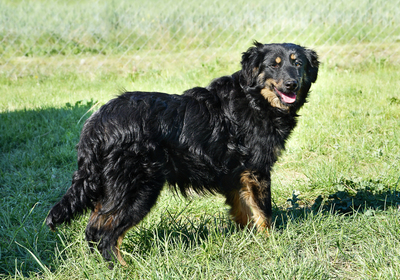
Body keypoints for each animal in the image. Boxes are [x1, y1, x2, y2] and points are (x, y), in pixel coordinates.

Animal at [46, 41, 318, 264]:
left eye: (298, 64)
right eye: (274, 65)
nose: (291, 84)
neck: (254, 99)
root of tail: (97, 123)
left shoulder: (235, 175)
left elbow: (244, 211)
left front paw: (248, 240)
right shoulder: (257, 170)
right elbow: (263, 211)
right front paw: (271, 242)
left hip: (112, 188)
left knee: (93, 227)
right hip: (138, 189)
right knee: (104, 234)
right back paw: (123, 268)